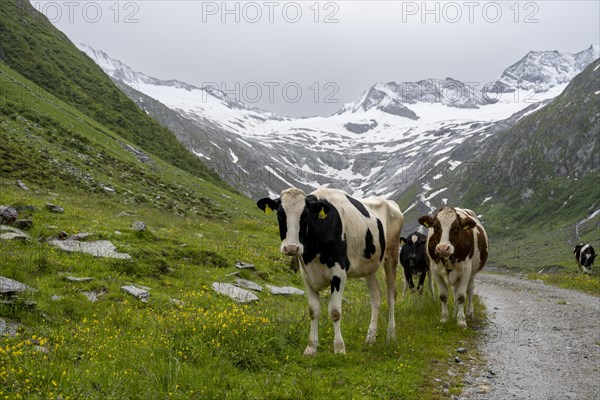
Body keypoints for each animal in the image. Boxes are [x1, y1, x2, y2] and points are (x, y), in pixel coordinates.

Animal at [258, 186, 404, 354]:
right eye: (280, 214)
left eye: (305, 215)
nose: (291, 248)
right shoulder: (306, 275)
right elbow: (313, 310)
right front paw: (311, 348)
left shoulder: (339, 272)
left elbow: (334, 311)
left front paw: (339, 348)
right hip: (369, 266)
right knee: (376, 296)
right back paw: (370, 338)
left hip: (392, 255)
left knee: (391, 295)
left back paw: (391, 335)